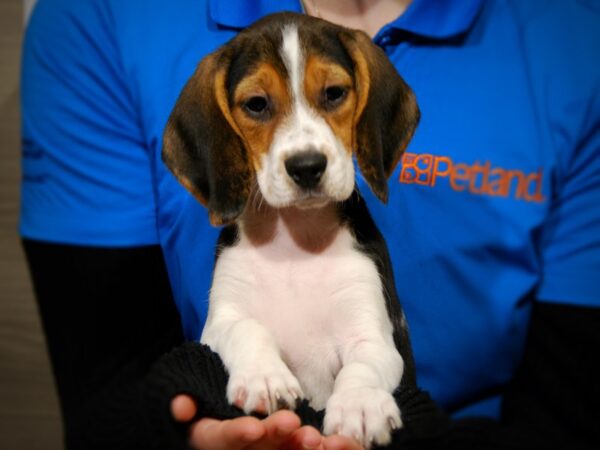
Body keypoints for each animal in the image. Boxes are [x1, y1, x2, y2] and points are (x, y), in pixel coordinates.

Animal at [162, 12, 420, 448]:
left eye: (334, 93)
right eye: (256, 104)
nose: (307, 166)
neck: (295, 244)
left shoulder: (374, 335)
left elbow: (362, 366)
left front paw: (360, 404)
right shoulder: (217, 324)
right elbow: (247, 328)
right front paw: (265, 377)